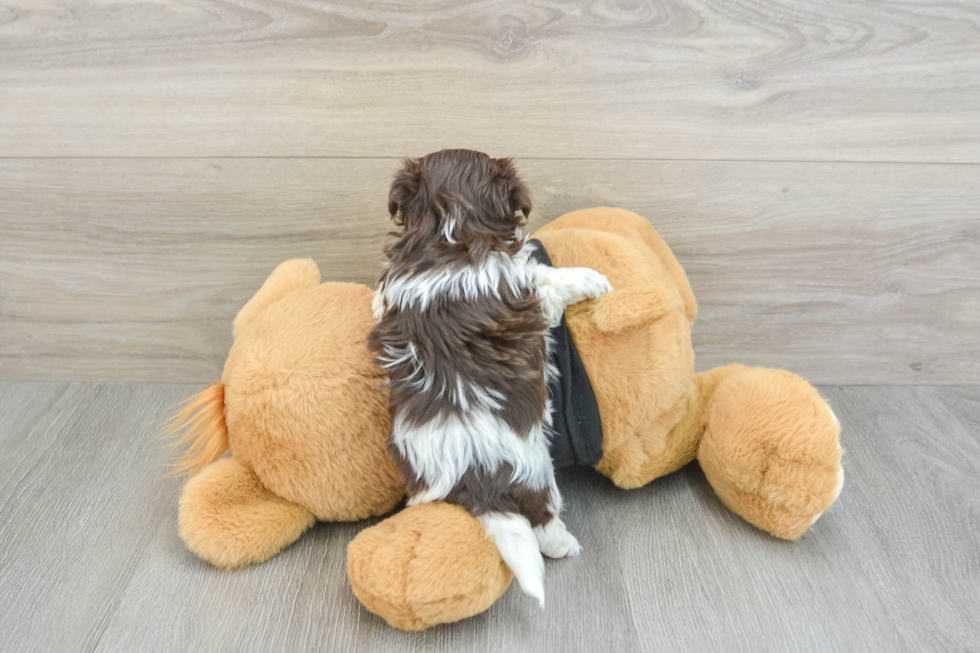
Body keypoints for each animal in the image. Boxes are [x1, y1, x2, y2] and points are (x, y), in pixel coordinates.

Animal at [370, 149, 608, 608]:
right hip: (535, 470)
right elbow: (553, 280)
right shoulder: (529, 290)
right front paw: (594, 279)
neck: (449, 227)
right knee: (542, 518)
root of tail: (475, 476)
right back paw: (564, 545)